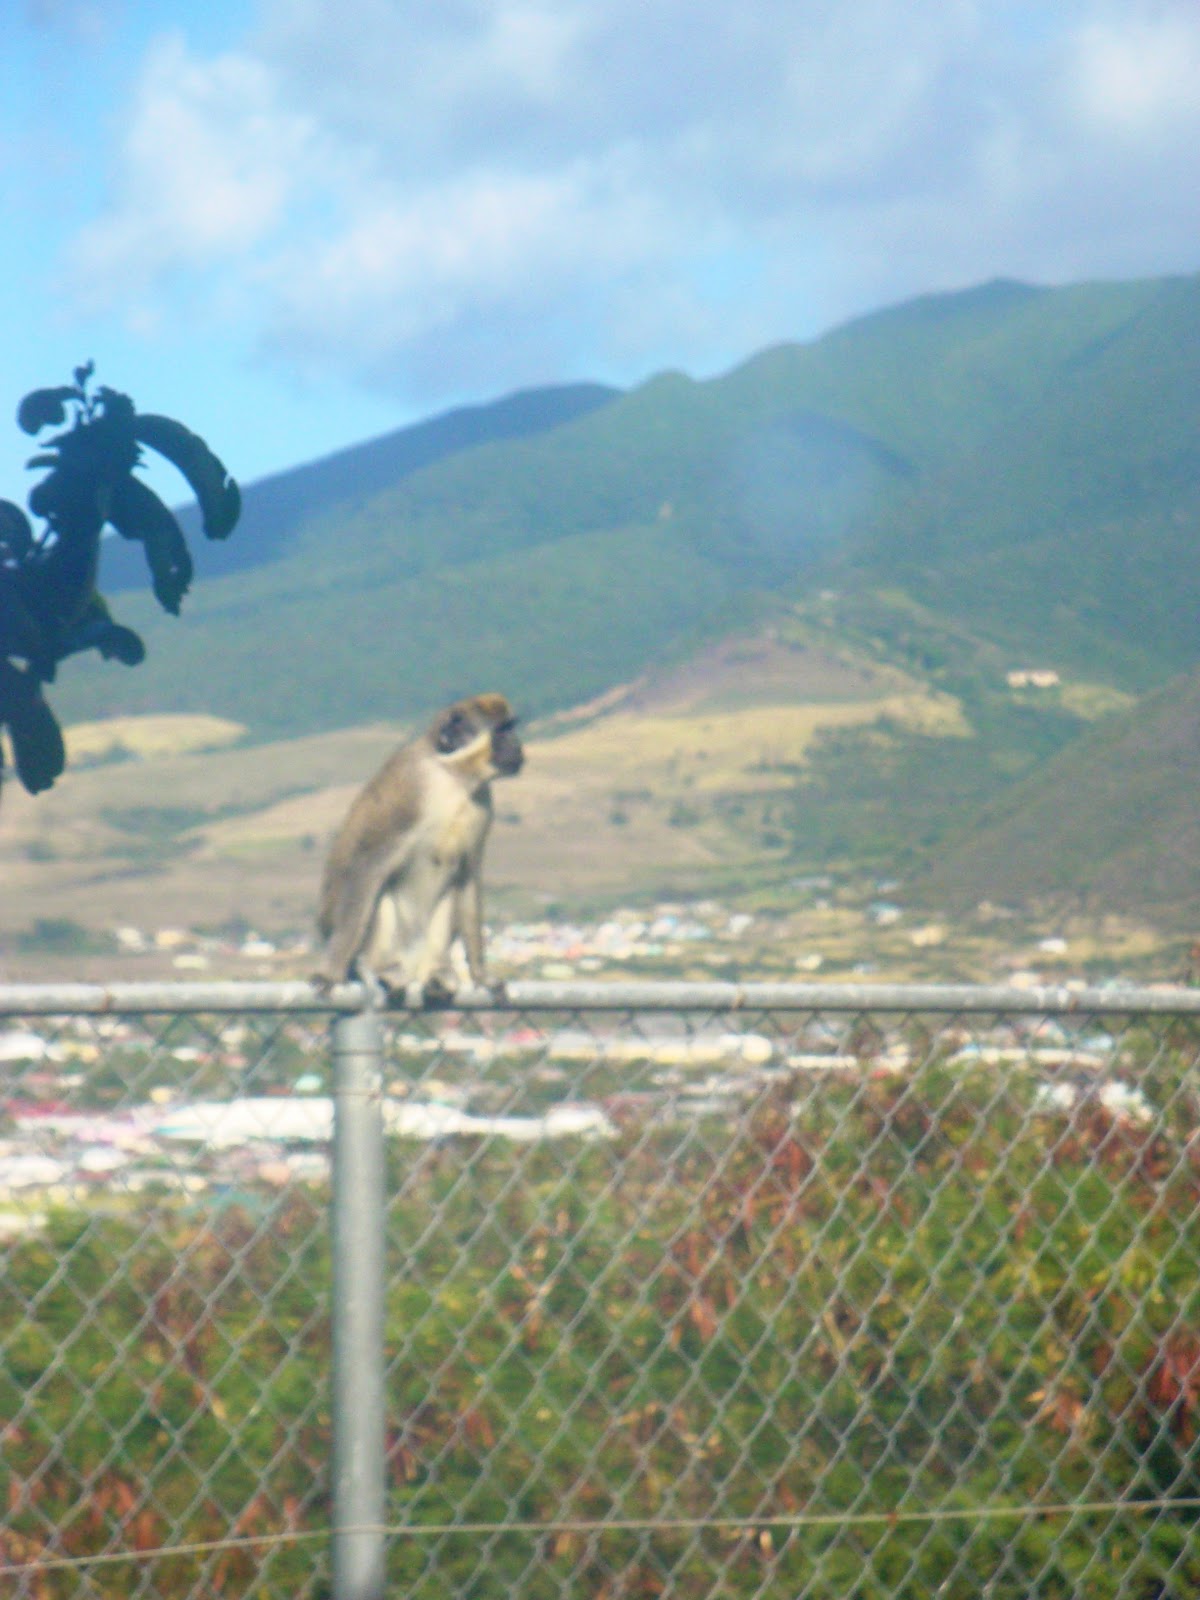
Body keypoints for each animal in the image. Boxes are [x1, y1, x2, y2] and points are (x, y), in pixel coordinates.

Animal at [313, 693, 523, 1002]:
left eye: (511, 727)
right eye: (502, 731)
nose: (518, 745)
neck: (452, 775)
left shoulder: (484, 802)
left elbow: (468, 877)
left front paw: (481, 976)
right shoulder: (411, 786)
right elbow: (368, 866)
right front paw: (330, 972)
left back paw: (437, 975)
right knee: (380, 892)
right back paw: (385, 969)